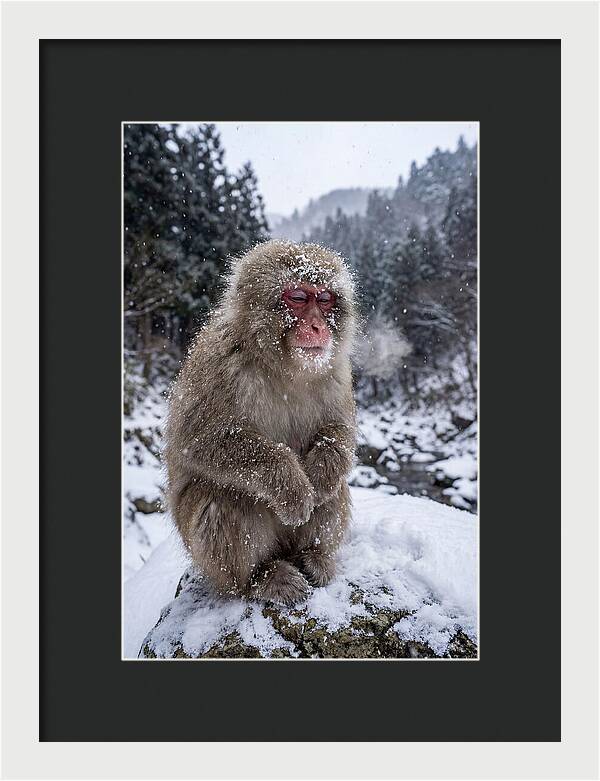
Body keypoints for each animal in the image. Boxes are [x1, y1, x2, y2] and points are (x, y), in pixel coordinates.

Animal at [163, 240, 358, 605]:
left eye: (325, 299)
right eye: (298, 297)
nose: (318, 327)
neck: (283, 367)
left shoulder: (337, 372)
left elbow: (340, 431)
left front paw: (321, 475)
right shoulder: (218, 364)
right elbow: (198, 441)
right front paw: (293, 487)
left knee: (336, 489)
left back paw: (314, 556)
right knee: (223, 497)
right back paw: (259, 579)